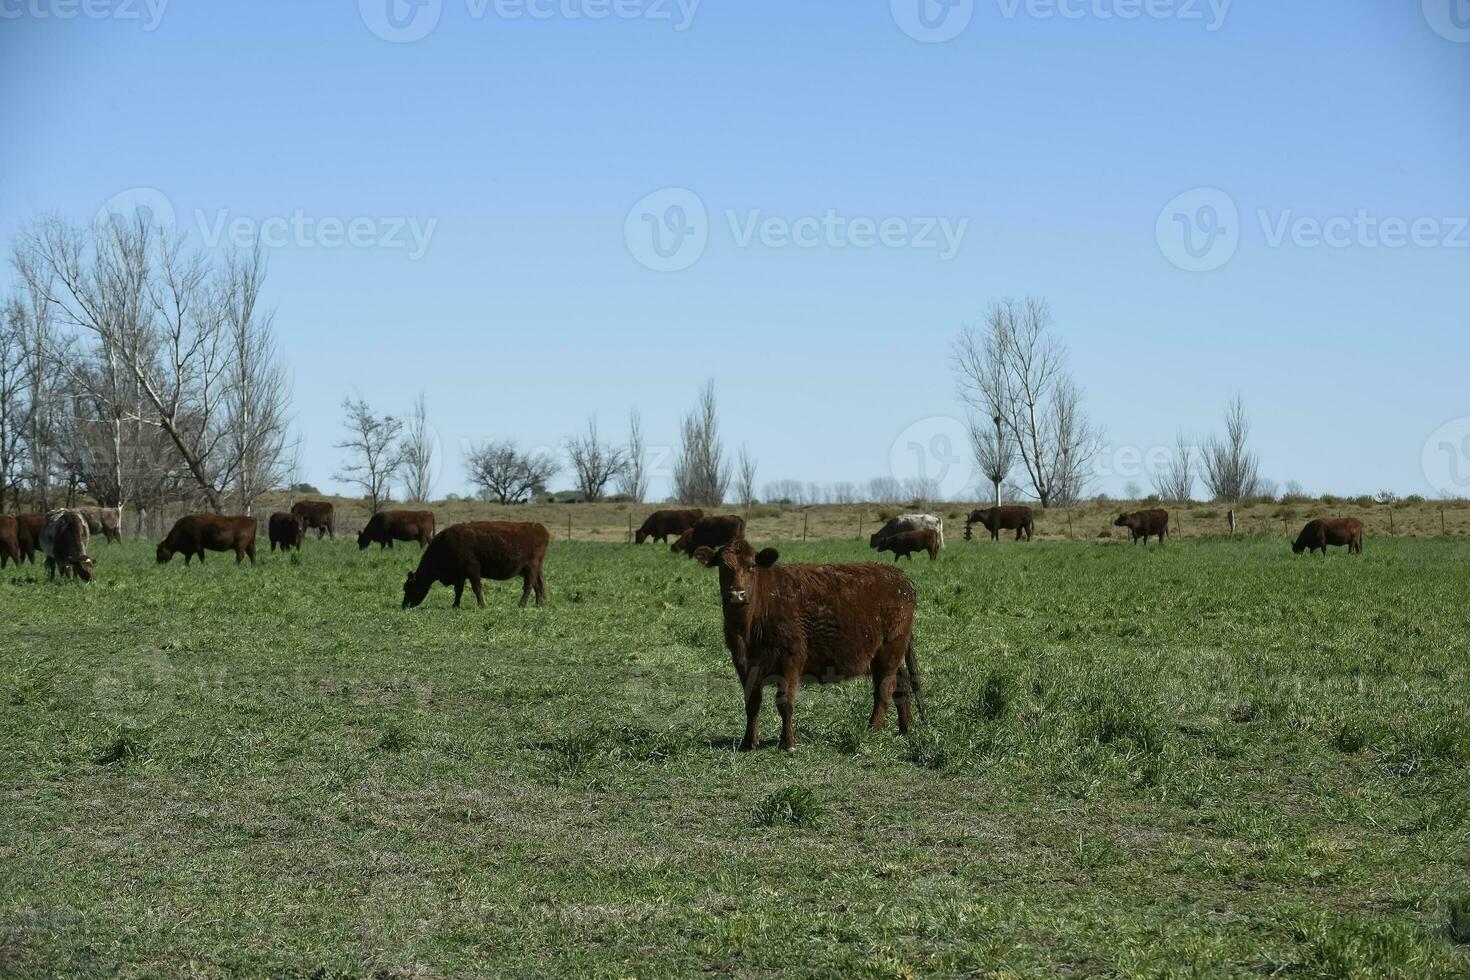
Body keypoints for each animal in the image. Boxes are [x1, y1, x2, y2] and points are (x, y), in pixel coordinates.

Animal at [402, 525, 552, 608]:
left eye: (408, 588)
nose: (404, 606)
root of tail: (537, 527)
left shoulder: (472, 569)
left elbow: (477, 588)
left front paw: (482, 605)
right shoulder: (460, 574)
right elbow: (459, 590)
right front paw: (455, 605)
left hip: (531, 567)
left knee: (529, 586)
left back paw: (521, 605)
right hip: (534, 569)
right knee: (538, 586)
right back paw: (539, 604)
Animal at [696, 540, 923, 758]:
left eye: (751, 566)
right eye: (723, 567)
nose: (737, 594)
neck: (748, 630)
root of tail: (898, 576)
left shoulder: (791, 659)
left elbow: (784, 702)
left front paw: (788, 743)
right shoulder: (743, 664)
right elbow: (752, 703)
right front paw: (748, 742)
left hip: (890, 651)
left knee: (885, 690)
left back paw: (873, 729)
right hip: (885, 656)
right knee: (902, 682)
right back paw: (905, 729)